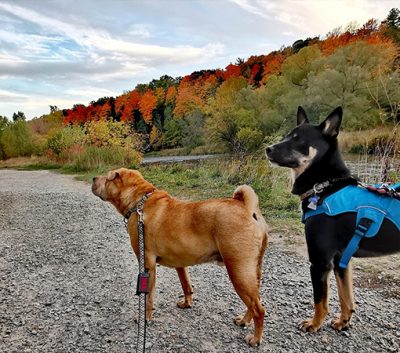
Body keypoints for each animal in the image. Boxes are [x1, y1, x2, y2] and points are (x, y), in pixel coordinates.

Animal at [91, 167, 268, 344]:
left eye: (107, 177)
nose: (93, 178)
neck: (140, 201)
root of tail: (246, 207)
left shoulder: (148, 264)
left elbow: (148, 297)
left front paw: (145, 318)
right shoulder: (180, 264)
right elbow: (186, 285)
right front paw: (187, 303)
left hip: (239, 271)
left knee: (259, 309)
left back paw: (255, 339)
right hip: (253, 272)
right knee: (255, 301)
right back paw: (244, 320)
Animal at [266, 106, 400, 332]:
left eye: (298, 139)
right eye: (286, 135)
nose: (268, 149)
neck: (324, 187)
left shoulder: (320, 262)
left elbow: (320, 300)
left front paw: (314, 324)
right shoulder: (340, 260)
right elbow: (346, 298)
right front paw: (342, 322)